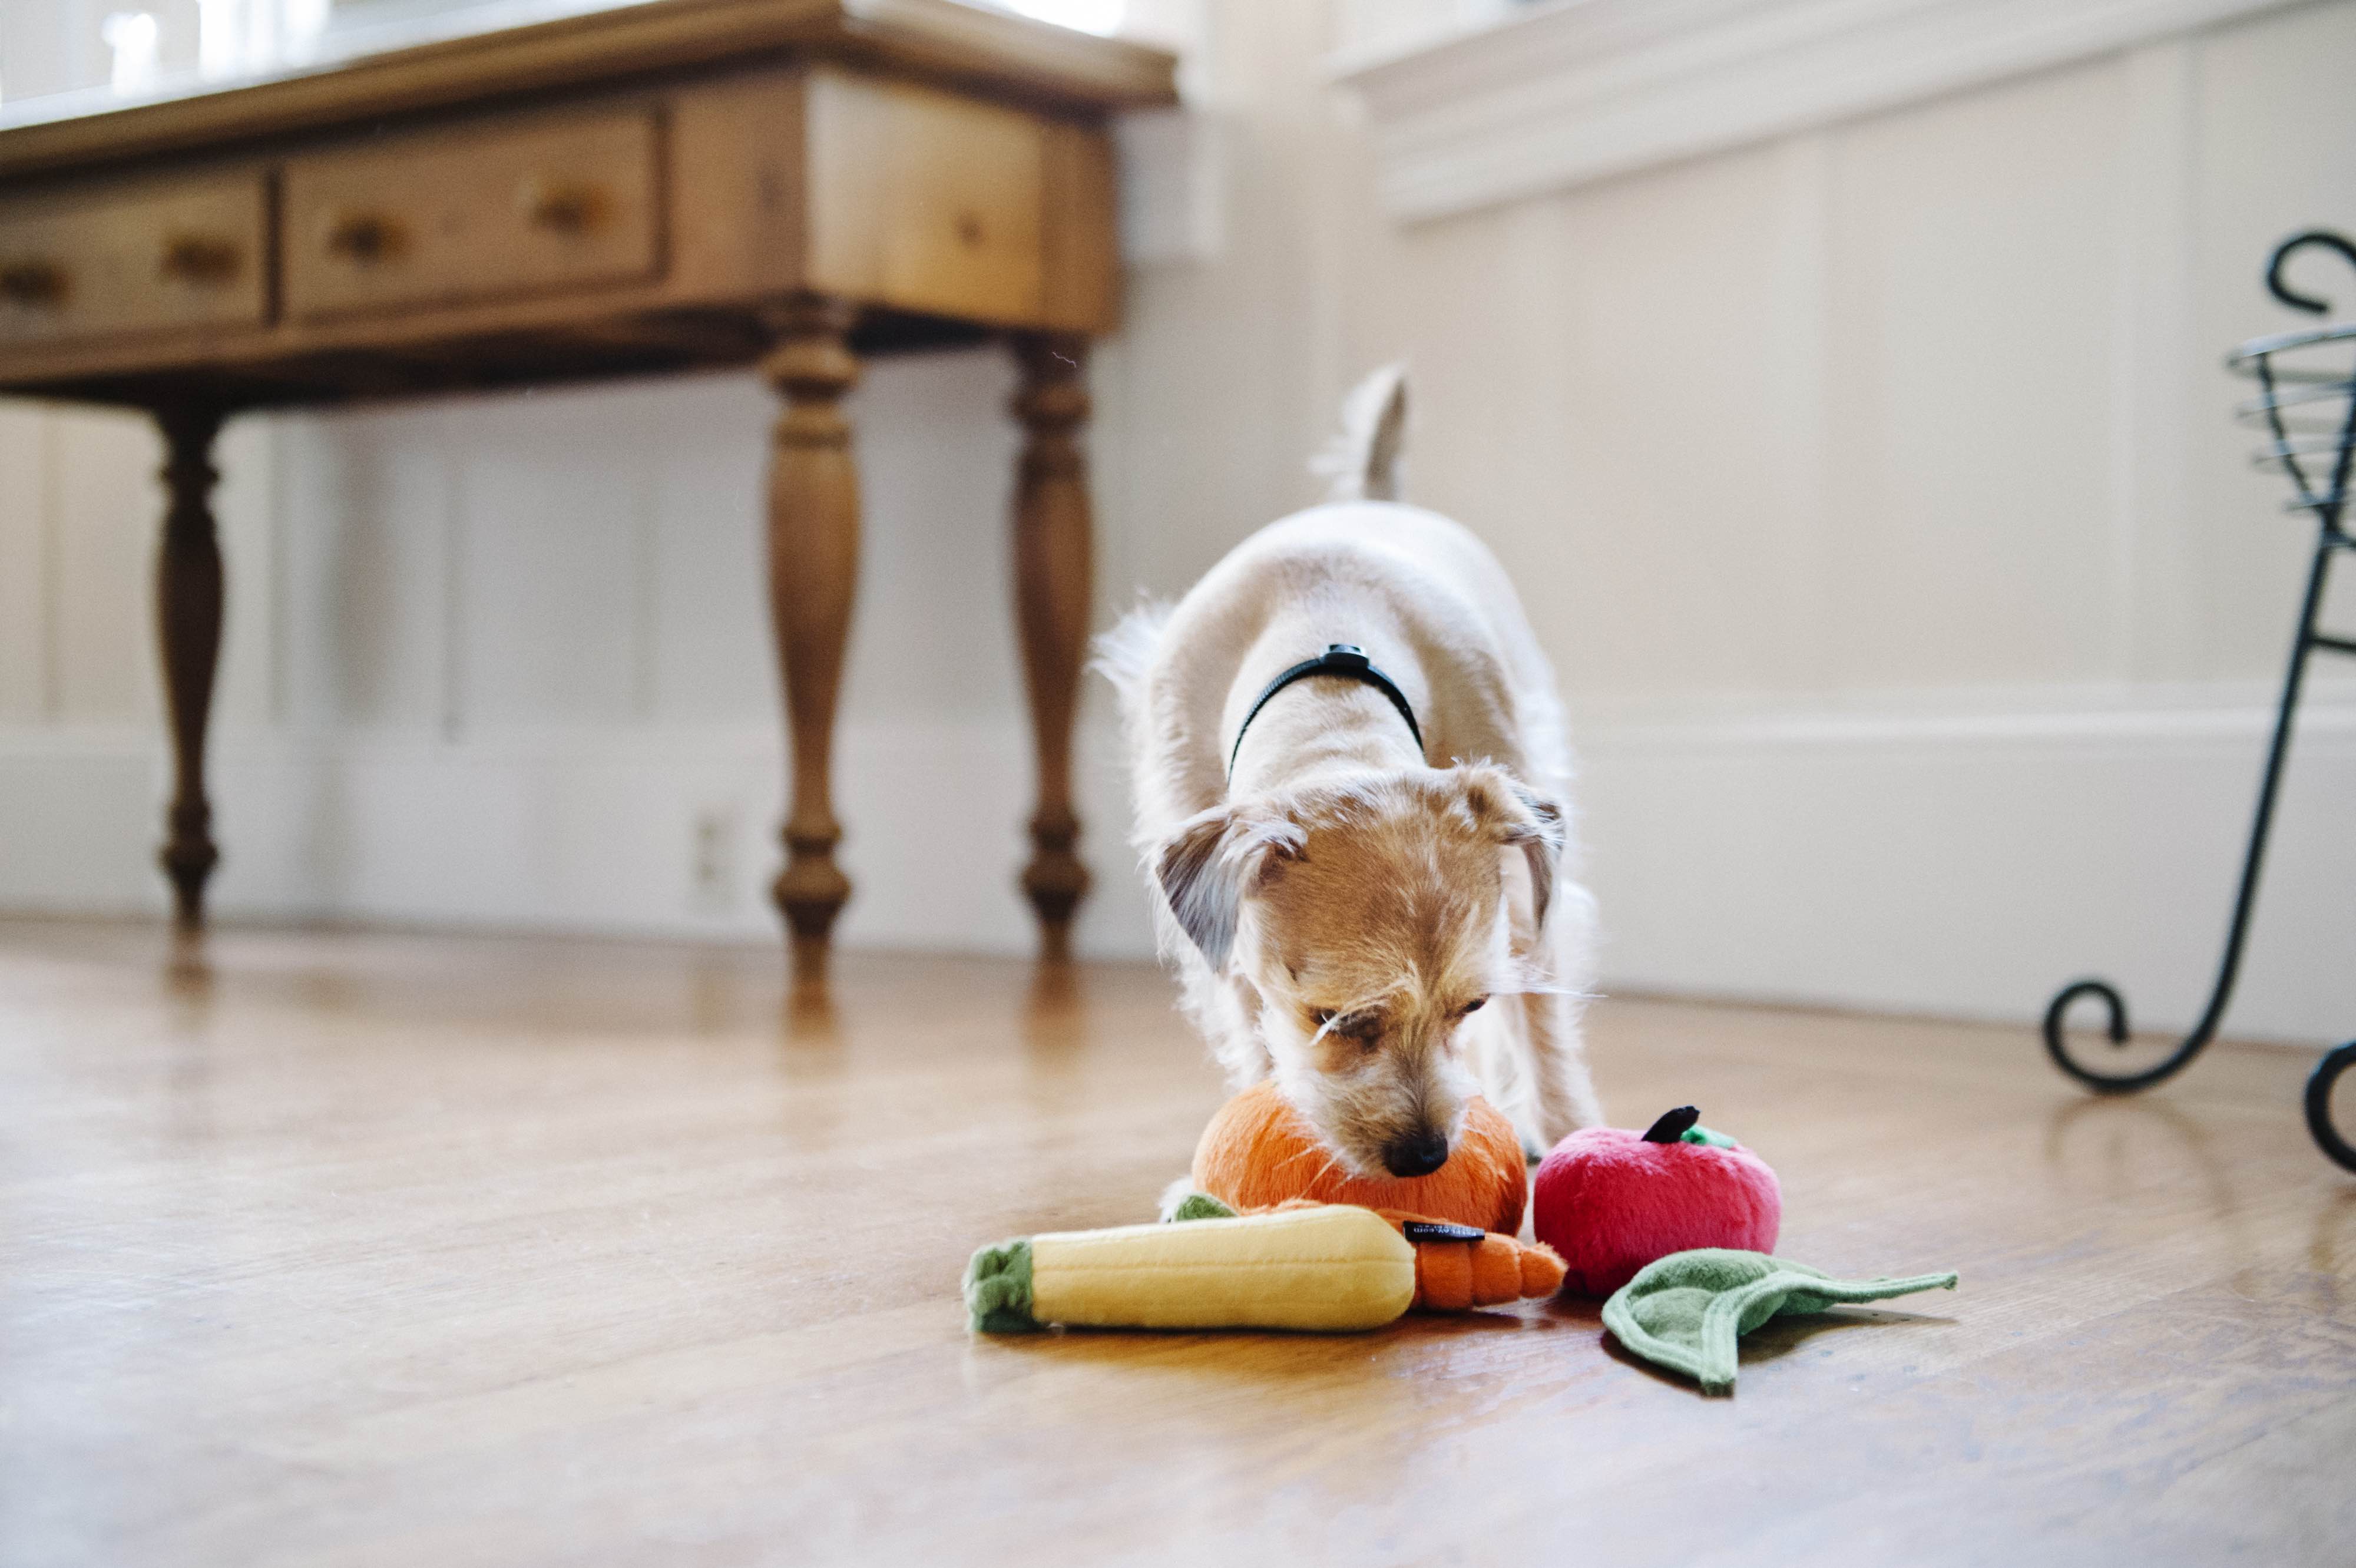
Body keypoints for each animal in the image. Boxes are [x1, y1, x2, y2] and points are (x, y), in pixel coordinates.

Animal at [1098, 367, 1602, 1172]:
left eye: (1469, 1004)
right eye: (1330, 1016)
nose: (1426, 1157)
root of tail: (1372, 499)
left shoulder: (1528, 893)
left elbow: (1543, 1028)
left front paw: (1572, 1136)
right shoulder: (1227, 935)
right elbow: (1253, 1023)